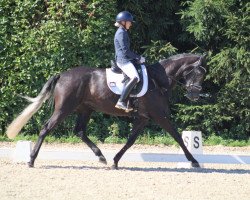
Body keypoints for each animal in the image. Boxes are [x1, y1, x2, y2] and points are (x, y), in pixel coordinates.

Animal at [6, 53, 207, 169]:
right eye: (198, 73)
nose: (195, 96)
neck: (157, 79)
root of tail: (62, 74)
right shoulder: (159, 116)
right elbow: (177, 136)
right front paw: (194, 161)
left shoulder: (143, 118)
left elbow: (131, 140)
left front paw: (115, 161)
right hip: (64, 108)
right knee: (46, 128)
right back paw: (31, 160)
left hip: (85, 109)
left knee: (80, 131)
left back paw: (101, 156)